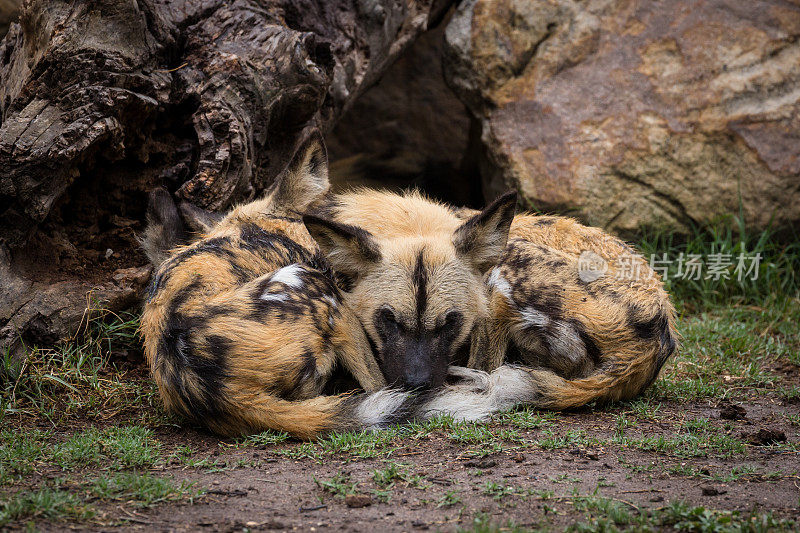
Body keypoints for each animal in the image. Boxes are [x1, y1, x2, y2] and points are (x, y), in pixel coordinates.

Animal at [304, 189, 680, 418]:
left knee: (484, 373)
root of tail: (657, 330)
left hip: (503, 272)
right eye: (388, 320)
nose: (417, 384)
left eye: (451, 322)